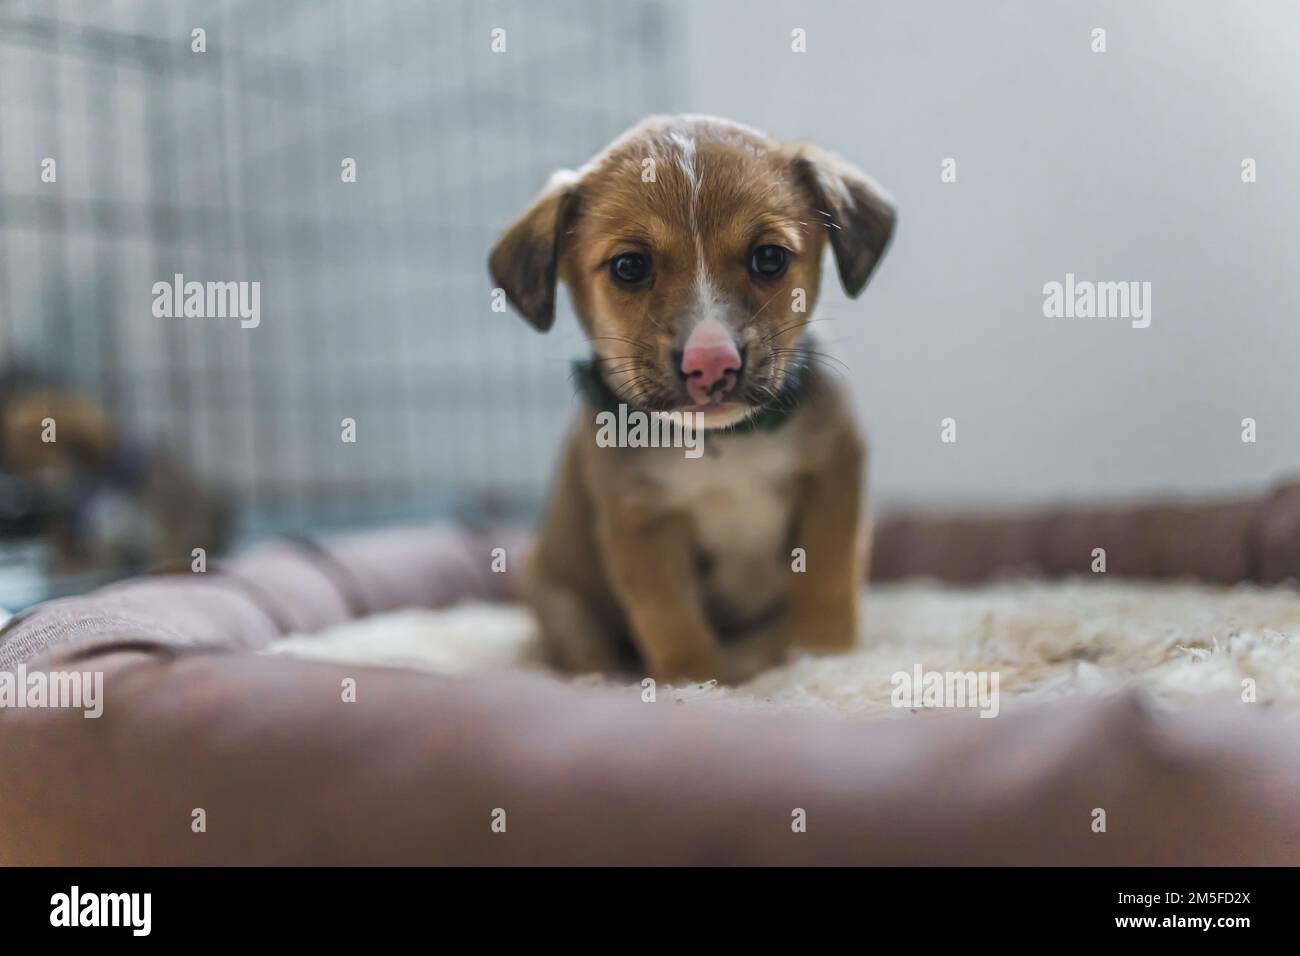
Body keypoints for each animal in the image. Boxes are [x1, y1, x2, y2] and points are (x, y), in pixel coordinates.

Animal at [488, 115, 894, 686]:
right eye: (629, 267)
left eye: (769, 257)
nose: (711, 364)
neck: (724, 445)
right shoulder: (640, 523)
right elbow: (672, 621)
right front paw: (699, 685)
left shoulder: (835, 475)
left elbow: (828, 582)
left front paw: (828, 658)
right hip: (558, 600)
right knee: (587, 652)